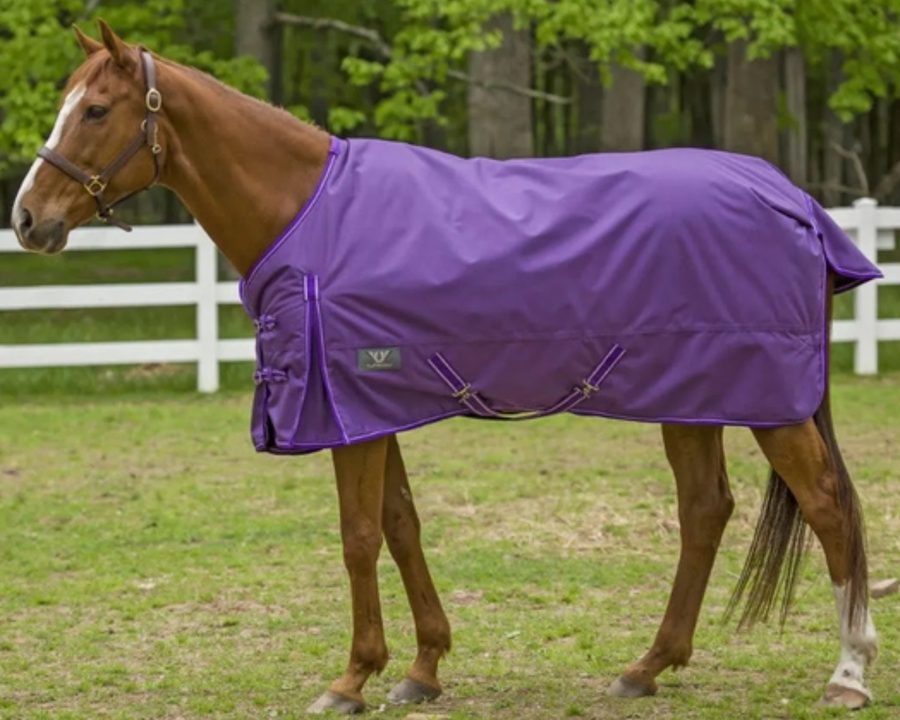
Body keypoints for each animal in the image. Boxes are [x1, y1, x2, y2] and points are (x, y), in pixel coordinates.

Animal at [10, 21, 880, 714]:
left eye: (95, 110)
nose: (27, 219)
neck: (309, 212)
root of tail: (794, 200)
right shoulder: (368, 406)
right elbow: (401, 525)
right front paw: (422, 668)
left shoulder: (344, 411)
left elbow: (359, 535)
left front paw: (351, 679)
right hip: (692, 396)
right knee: (704, 510)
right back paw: (646, 667)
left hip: (769, 403)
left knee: (828, 505)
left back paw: (847, 673)